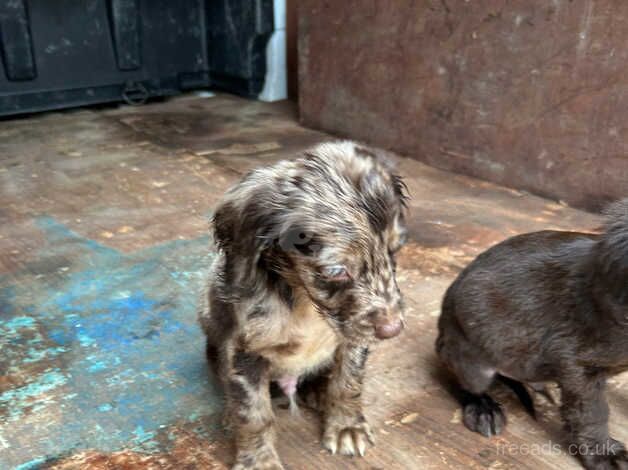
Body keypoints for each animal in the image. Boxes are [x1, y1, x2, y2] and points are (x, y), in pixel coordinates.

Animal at [199, 141, 410, 468]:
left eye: (394, 251)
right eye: (336, 271)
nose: (393, 329)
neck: (303, 299)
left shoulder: (353, 336)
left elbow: (348, 382)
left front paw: (347, 426)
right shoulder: (244, 351)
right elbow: (253, 412)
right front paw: (258, 461)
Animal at [436, 199, 628, 470]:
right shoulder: (578, 363)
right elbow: (592, 413)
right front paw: (603, 455)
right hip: (472, 362)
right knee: (460, 381)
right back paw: (484, 409)